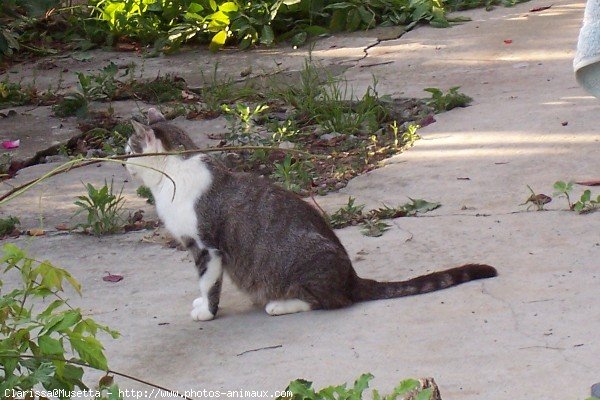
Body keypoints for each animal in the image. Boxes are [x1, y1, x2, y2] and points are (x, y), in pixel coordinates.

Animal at [125, 109, 496, 322]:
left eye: (129, 149)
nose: (123, 162)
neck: (171, 175)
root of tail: (351, 277)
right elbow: (205, 285)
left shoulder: (207, 247)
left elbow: (208, 283)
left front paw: (207, 311)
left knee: (333, 301)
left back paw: (281, 304)